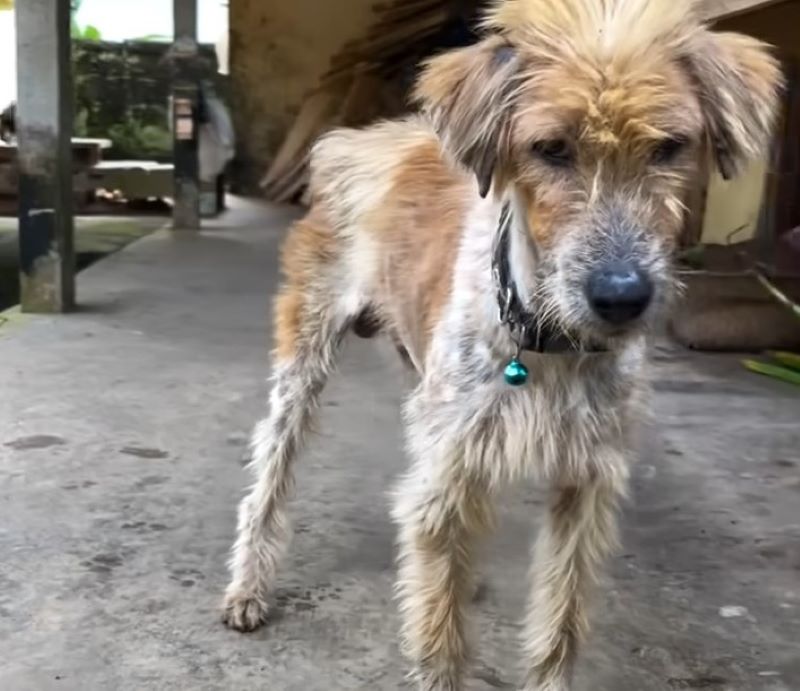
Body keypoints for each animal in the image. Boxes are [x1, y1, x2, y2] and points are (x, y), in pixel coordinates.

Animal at [223, 0, 780, 688]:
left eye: (670, 147)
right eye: (551, 149)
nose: (622, 297)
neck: (550, 341)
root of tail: (360, 139)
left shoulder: (583, 483)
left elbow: (559, 624)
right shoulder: (451, 470)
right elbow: (441, 637)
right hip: (305, 364)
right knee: (270, 474)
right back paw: (248, 587)